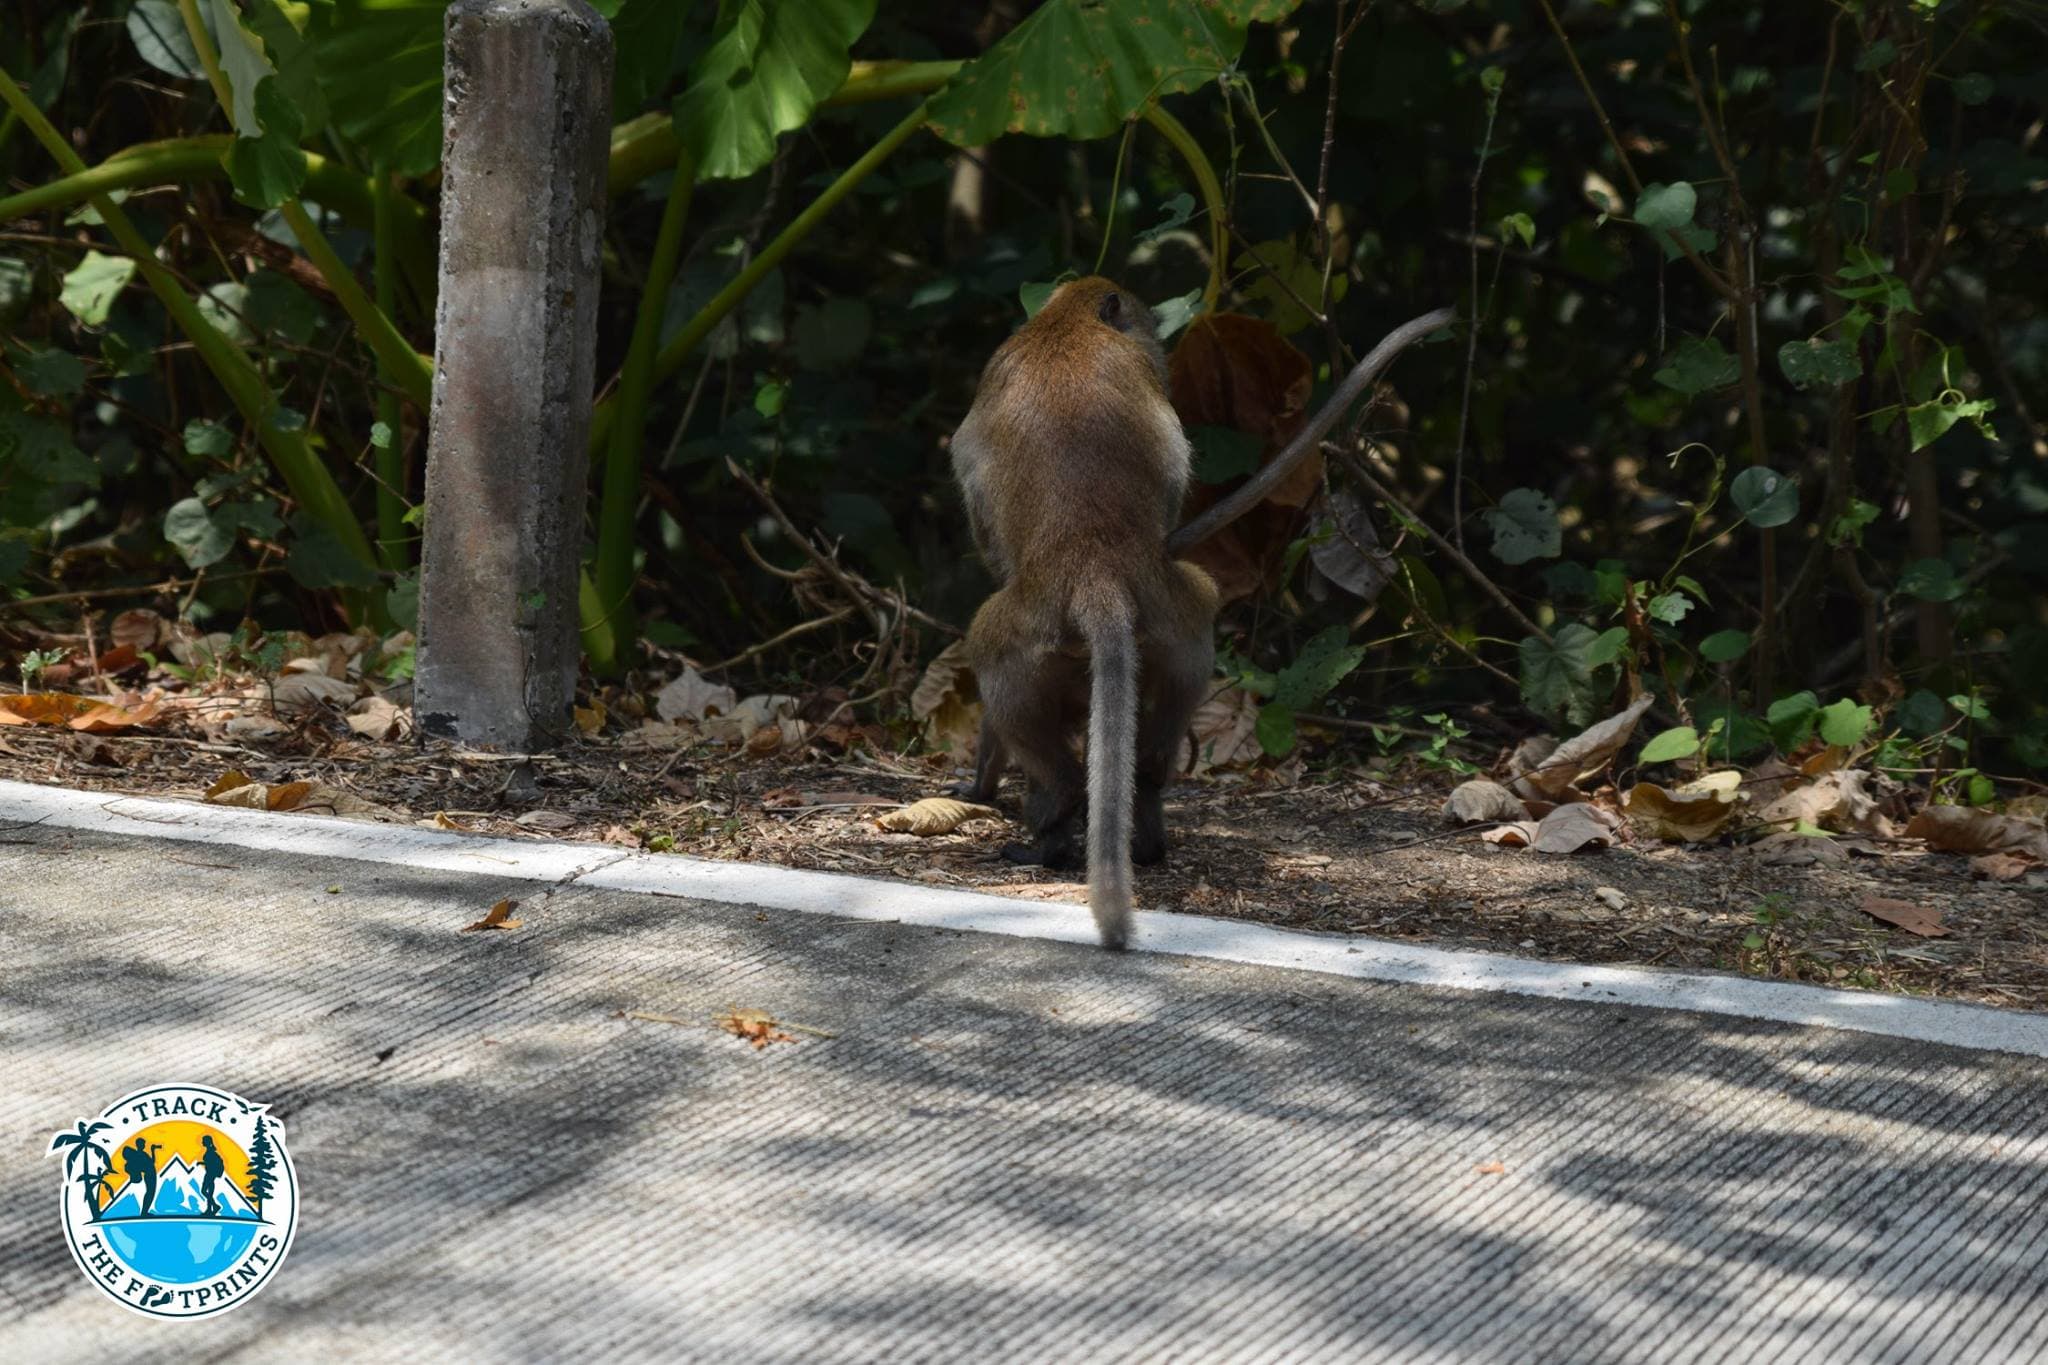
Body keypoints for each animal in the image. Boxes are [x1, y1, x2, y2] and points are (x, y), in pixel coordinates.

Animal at [948, 276, 1219, 950]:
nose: (1162, 347)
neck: (1065, 319)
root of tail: (1094, 565)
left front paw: (976, 789)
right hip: (1178, 623)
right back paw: (1144, 824)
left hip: (1022, 631)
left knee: (990, 661)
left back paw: (1052, 829)